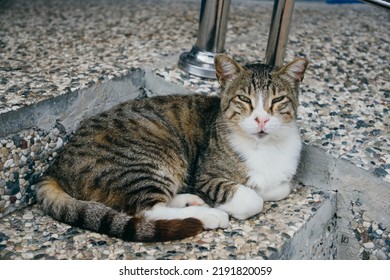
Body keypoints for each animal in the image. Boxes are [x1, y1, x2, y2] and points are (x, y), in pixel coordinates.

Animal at [38, 55, 310, 243]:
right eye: (244, 99)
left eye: (278, 100)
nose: (262, 119)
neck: (264, 146)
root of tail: (55, 167)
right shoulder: (205, 176)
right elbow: (252, 199)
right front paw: (230, 202)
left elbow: (281, 187)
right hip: (151, 158)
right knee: (147, 212)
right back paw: (207, 215)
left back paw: (189, 200)